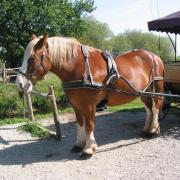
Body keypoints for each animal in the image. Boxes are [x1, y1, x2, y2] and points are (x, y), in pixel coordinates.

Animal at [16, 33, 164, 159]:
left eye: (31, 59)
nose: (20, 83)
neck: (79, 67)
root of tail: (154, 56)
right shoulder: (76, 105)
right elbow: (80, 123)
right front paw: (78, 144)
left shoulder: (89, 105)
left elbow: (89, 125)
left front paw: (88, 149)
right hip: (143, 92)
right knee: (148, 109)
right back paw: (146, 130)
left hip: (156, 88)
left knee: (155, 107)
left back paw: (154, 130)